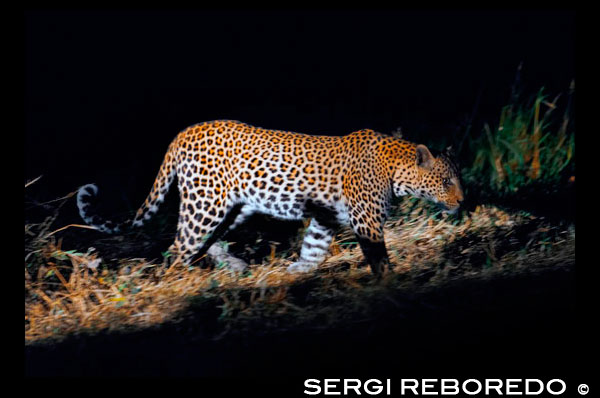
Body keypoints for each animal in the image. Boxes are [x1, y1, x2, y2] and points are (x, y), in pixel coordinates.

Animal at [76, 119, 464, 276]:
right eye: (446, 182)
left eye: (457, 179)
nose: (462, 201)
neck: (396, 168)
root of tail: (184, 132)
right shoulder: (365, 221)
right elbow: (379, 257)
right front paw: (390, 284)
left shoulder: (325, 217)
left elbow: (313, 249)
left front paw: (298, 271)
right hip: (206, 203)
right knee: (179, 245)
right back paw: (180, 281)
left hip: (236, 208)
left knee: (206, 241)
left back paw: (233, 266)